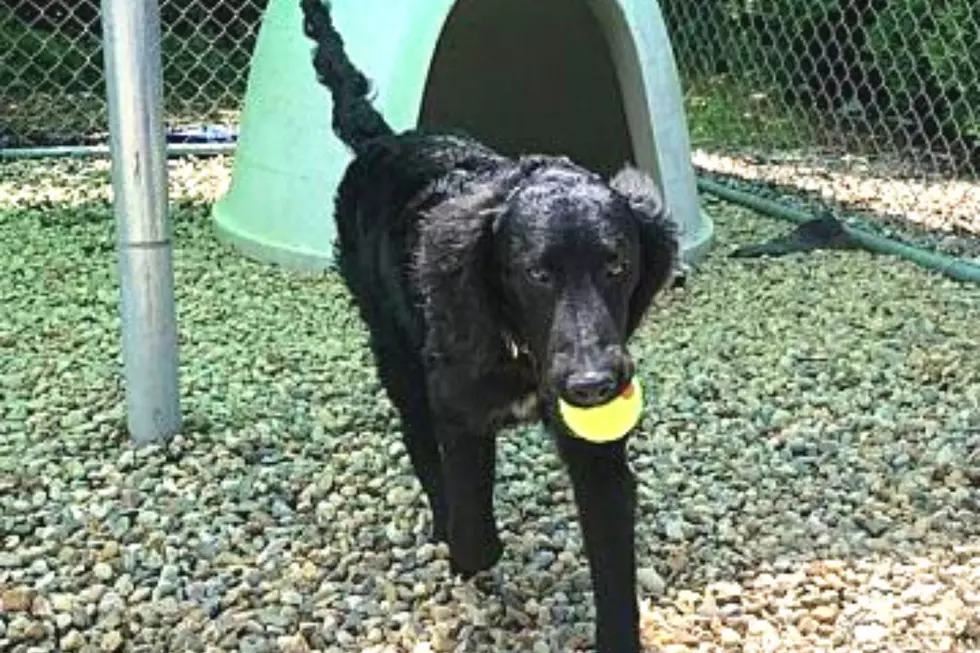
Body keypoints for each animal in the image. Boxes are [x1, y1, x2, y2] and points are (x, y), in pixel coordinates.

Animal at [300, 2, 680, 648]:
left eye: (617, 266)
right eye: (537, 274)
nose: (592, 387)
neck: (522, 349)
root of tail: (383, 141)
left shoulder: (597, 453)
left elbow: (613, 568)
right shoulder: (457, 412)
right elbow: (474, 533)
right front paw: (468, 545)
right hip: (394, 353)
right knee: (418, 439)